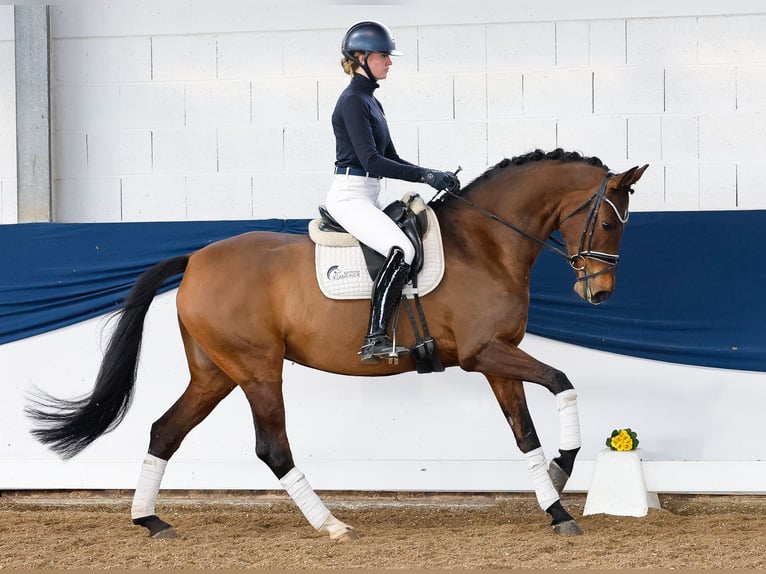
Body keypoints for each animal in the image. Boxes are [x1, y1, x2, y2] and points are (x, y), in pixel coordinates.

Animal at [27, 150, 648, 544]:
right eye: (609, 224)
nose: (598, 292)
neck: (485, 243)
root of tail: (196, 258)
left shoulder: (498, 359)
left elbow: (525, 434)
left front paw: (557, 504)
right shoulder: (483, 354)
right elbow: (562, 383)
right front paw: (564, 472)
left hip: (215, 374)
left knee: (164, 431)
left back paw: (149, 522)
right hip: (257, 370)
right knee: (272, 448)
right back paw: (331, 525)